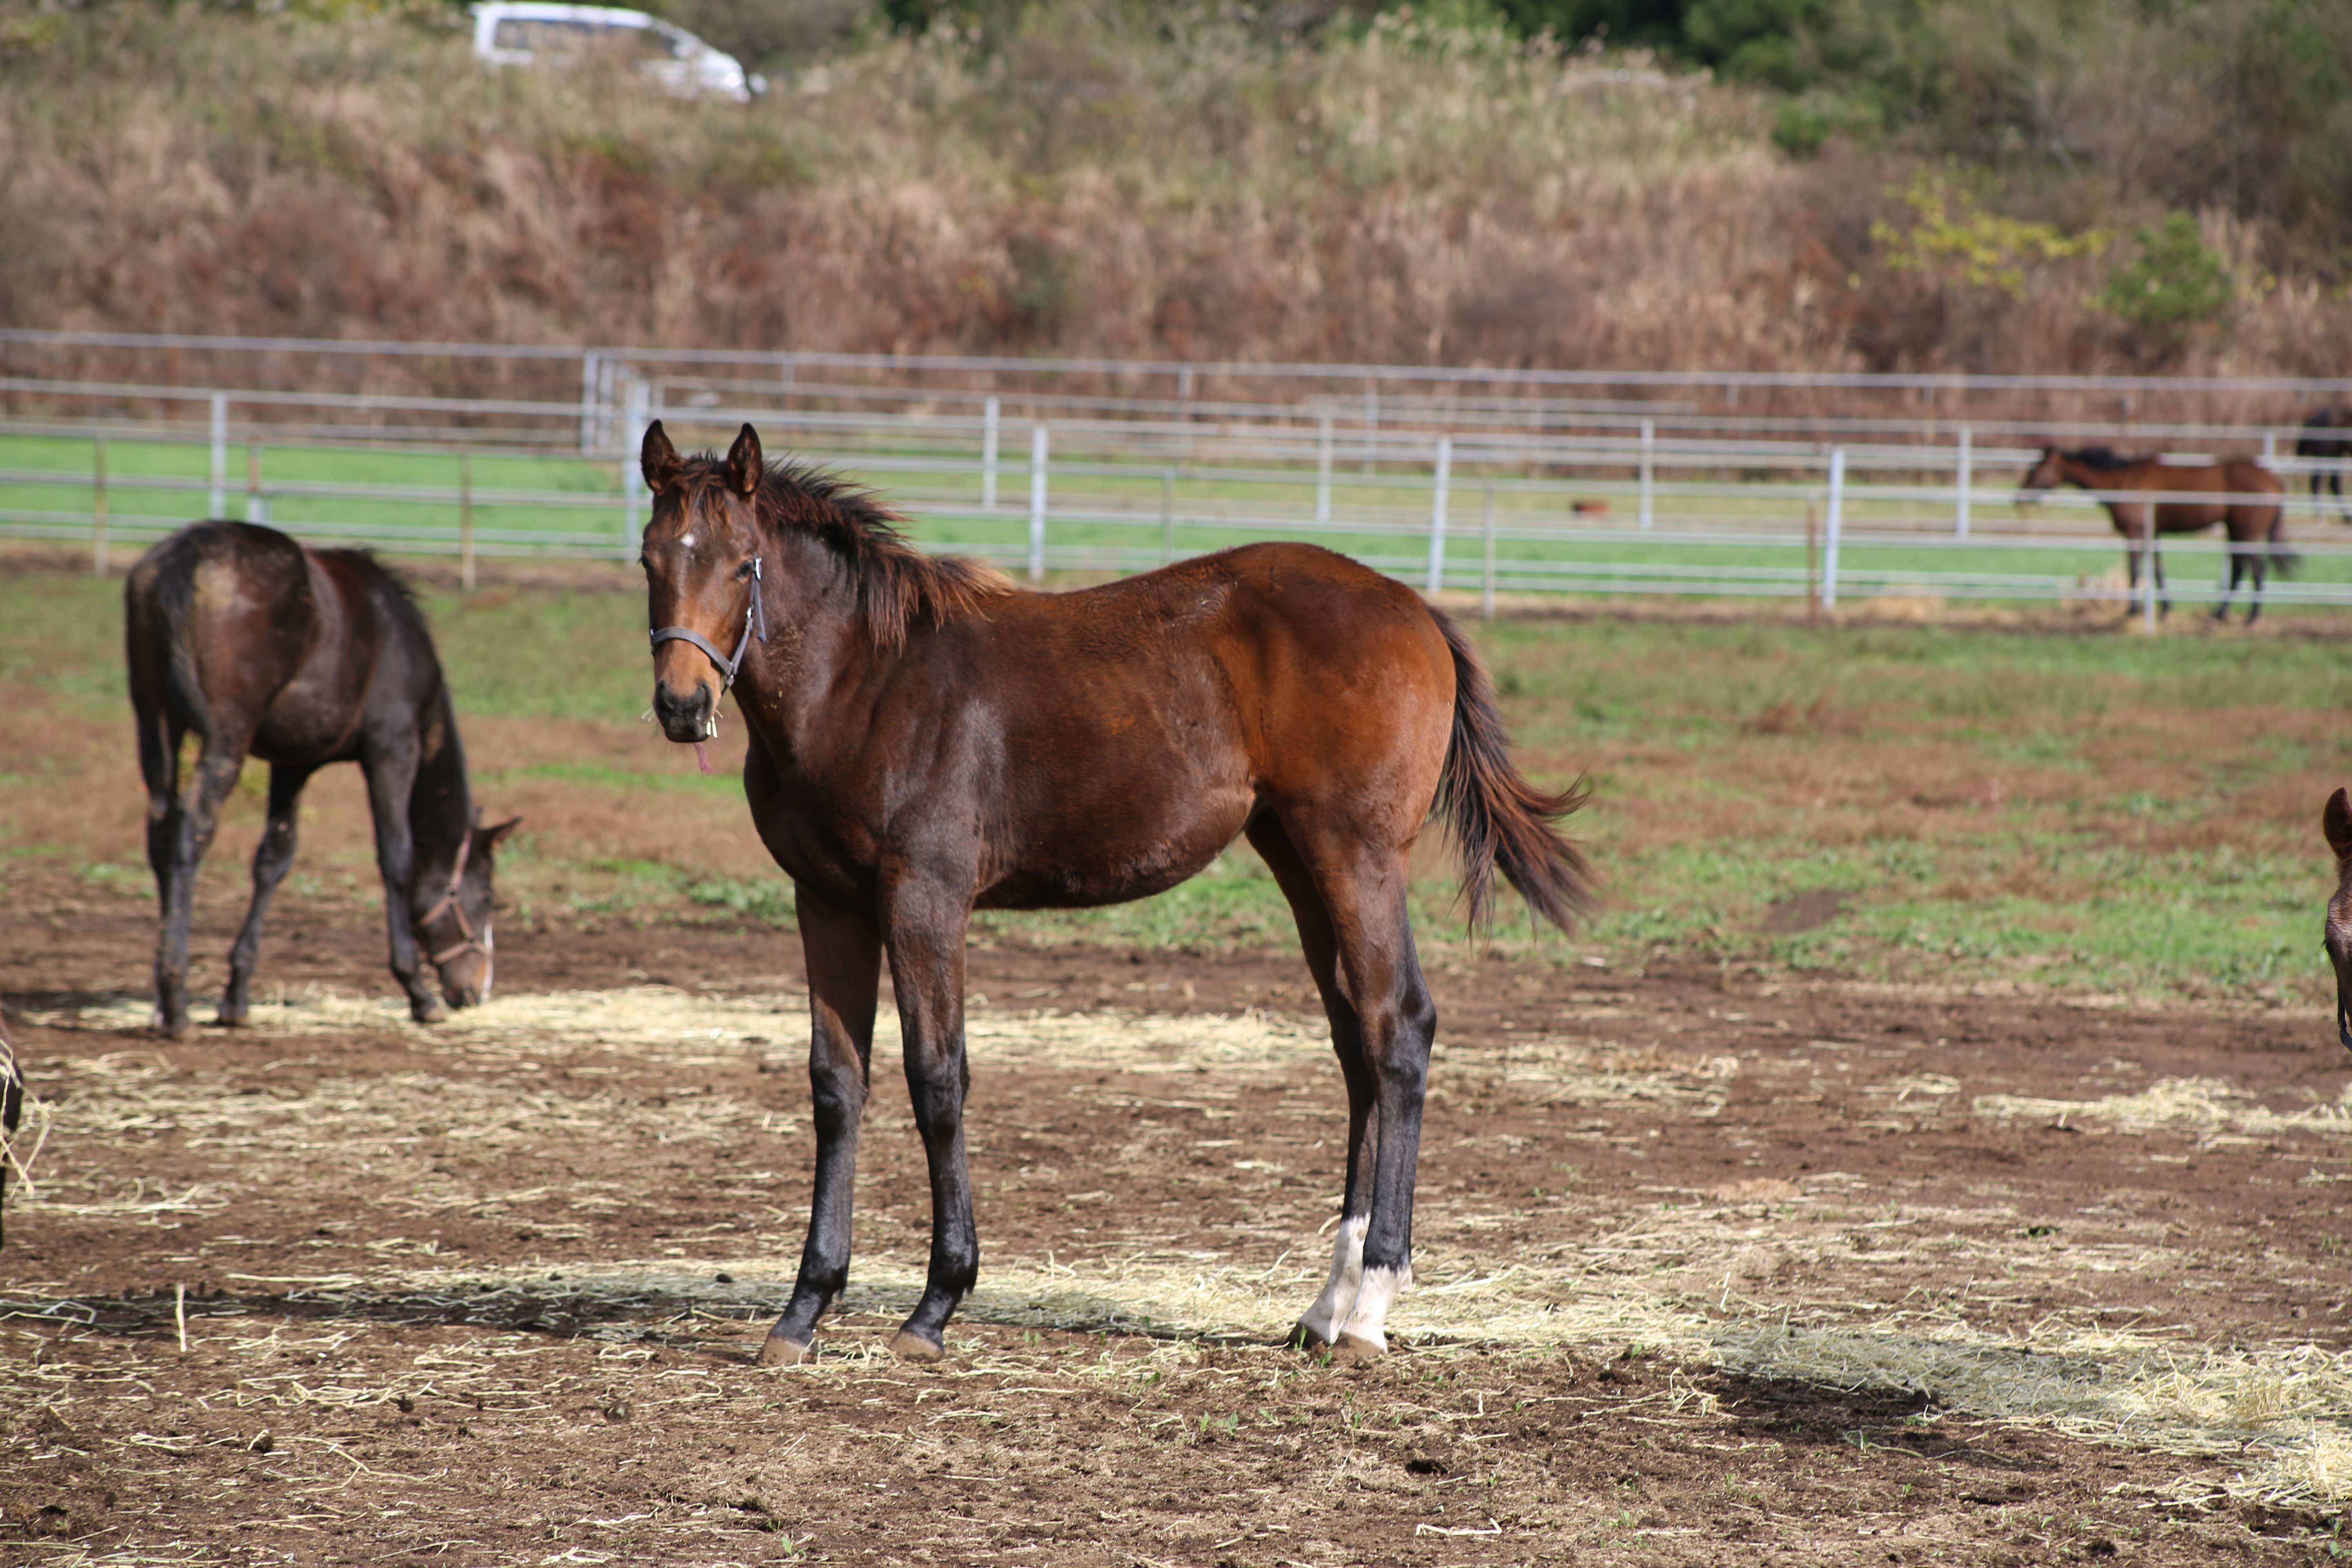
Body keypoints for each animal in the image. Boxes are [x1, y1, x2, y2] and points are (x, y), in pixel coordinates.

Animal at [124, 522, 519, 1048]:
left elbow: (273, 861)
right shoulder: (392, 748)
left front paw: (237, 998)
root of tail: (187, 557)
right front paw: (417, 992)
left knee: (160, 831)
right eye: (487, 896)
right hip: (226, 736)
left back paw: (161, 1002)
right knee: (191, 832)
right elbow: (396, 857)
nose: (478, 989)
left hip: (156, 722)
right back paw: (177, 1001)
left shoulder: (293, 764)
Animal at [639, 421, 1599, 1363]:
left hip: (1357, 854)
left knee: (1399, 1028)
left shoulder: (925, 899)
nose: (682, 707)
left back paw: (1369, 1307)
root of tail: (1413, 606)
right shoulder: (828, 903)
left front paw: (936, 1305)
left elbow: (937, 1078)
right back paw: (1325, 1309)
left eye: (744, 565)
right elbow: (837, 1087)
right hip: (1300, 858)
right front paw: (803, 1310)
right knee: (1357, 1042)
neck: (865, 683)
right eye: (651, 559)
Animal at [2022, 444, 2295, 620]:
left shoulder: (2135, 533)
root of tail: (2274, 479)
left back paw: (2247, 617)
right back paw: (2222, 614)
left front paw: (2132, 611)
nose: (2020, 495)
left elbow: (2135, 570)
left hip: (2246, 532)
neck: (2121, 481)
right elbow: (2157, 569)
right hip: (2235, 531)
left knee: (2256, 570)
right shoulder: (2152, 533)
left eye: (2038, 468)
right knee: (2241, 569)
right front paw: (2165, 609)